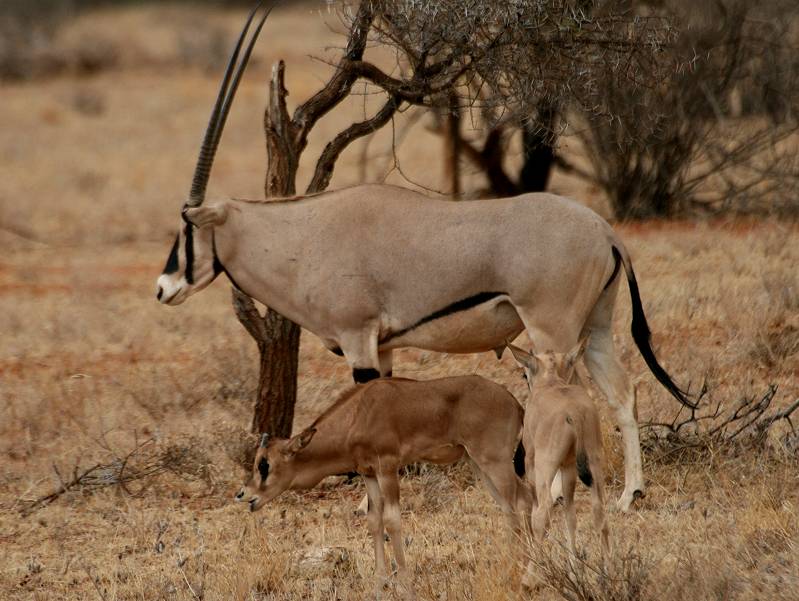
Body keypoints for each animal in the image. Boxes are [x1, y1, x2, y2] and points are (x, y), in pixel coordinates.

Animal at [238, 376, 536, 596]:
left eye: (265, 464)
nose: (244, 495)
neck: (359, 413)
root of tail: (514, 403)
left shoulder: (388, 469)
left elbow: (392, 520)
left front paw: (405, 585)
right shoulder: (370, 475)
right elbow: (374, 521)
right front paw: (379, 586)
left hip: (494, 462)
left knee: (522, 500)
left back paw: (526, 571)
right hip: (480, 465)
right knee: (510, 506)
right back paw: (510, 568)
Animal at [510, 342, 608, 564]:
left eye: (525, 374)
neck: (551, 382)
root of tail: (574, 412)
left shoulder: (532, 464)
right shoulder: (568, 466)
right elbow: (570, 513)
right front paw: (574, 564)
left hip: (546, 466)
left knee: (543, 512)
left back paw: (533, 571)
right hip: (594, 462)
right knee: (599, 511)